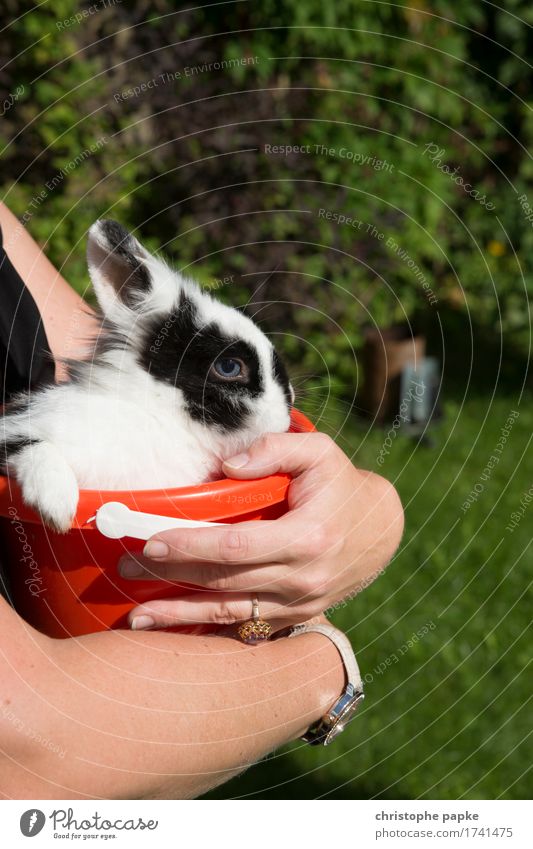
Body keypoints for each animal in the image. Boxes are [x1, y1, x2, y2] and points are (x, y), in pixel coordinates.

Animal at [0, 219, 294, 528]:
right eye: (229, 366)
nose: (288, 409)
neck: (159, 415)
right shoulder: (17, 427)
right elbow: (35, 447)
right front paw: (56, 510)